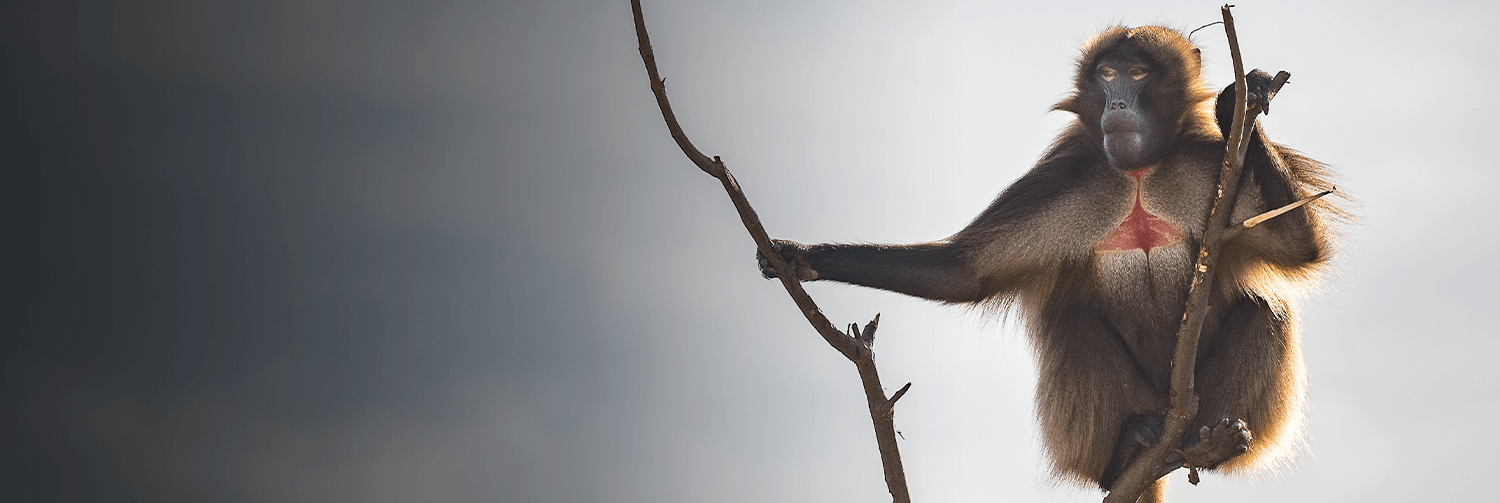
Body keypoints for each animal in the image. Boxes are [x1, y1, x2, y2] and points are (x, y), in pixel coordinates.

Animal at [756, 26, 1344, 501]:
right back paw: (1126, 455)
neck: (1138, 175)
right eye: (1106, 75)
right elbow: (961, 272)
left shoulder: (1210, 166)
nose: (1116, 105)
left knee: (1265, 310)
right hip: (1135, 407)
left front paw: (1242, 102)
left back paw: (1211, 444)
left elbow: (1297, 245)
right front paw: (799, 258)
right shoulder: (1067, 179)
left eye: (1137, 74)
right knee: (1074, 324)